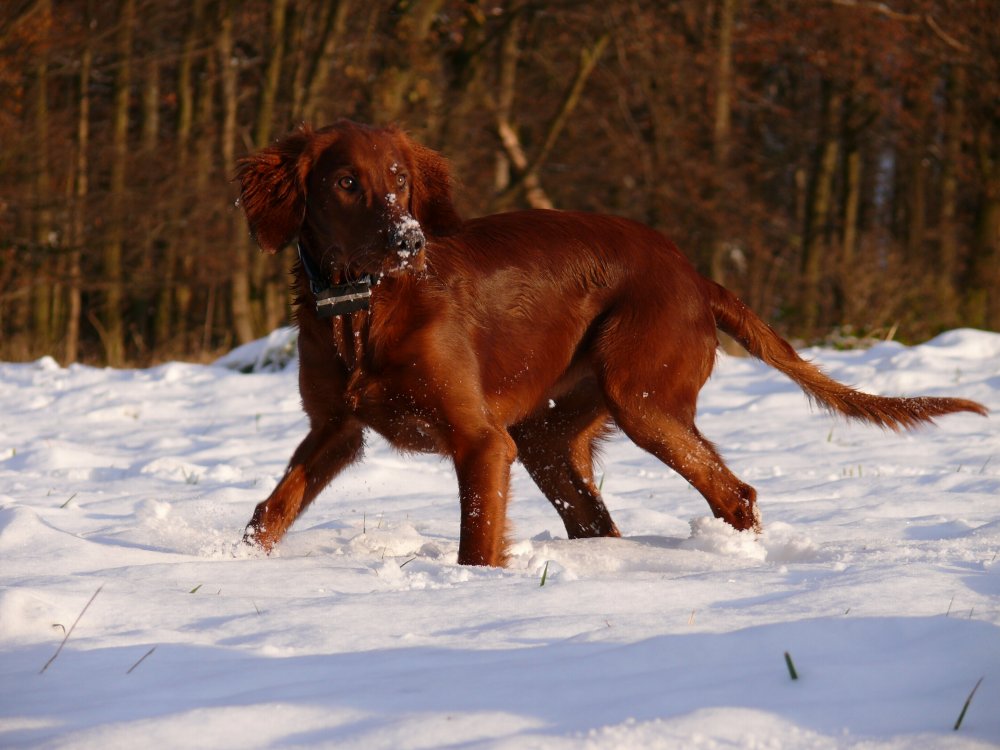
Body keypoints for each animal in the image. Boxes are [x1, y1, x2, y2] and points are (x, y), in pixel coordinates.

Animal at [234, 120, 984, 568]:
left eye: (399, 179)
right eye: (345, 182)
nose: (408, 240)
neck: (363, 308)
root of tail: (692, 273)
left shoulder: (482, 441)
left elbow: (477, 541)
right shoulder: (336, 430)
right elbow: (272, 508)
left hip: (640, 399)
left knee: (735, 492)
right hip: (546, 435)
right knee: (601, 523)